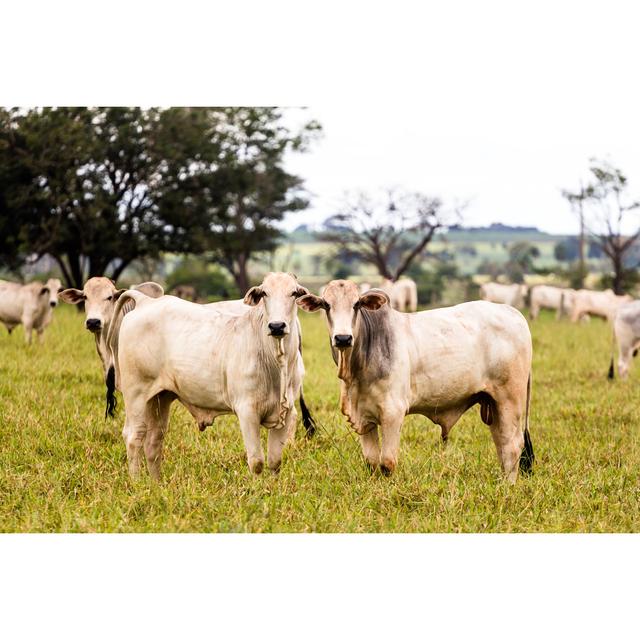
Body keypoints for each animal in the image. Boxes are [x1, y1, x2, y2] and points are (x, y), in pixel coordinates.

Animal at [109, 272, 314, 478]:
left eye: (294, 293)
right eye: (264, 293)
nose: (277, 326)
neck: (275, 362)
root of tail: (145, 301)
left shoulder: (286, 412)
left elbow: (274, 462)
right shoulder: (247, 411)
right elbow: (256, 461)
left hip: (160, 397)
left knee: (153, 440)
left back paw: (156, 482)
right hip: (136, 394)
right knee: (134, 436)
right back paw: (137, 481)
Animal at [298, 280, 532, 480]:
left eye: (356, 304)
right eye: (327, 305)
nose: (343, 338)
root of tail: (514, 313)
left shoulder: (393, 412)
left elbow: (387, 463)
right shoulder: (364, 417)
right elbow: (372, 462)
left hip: (510, 399)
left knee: (513, 445)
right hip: (492, 403)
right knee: (501, 442)